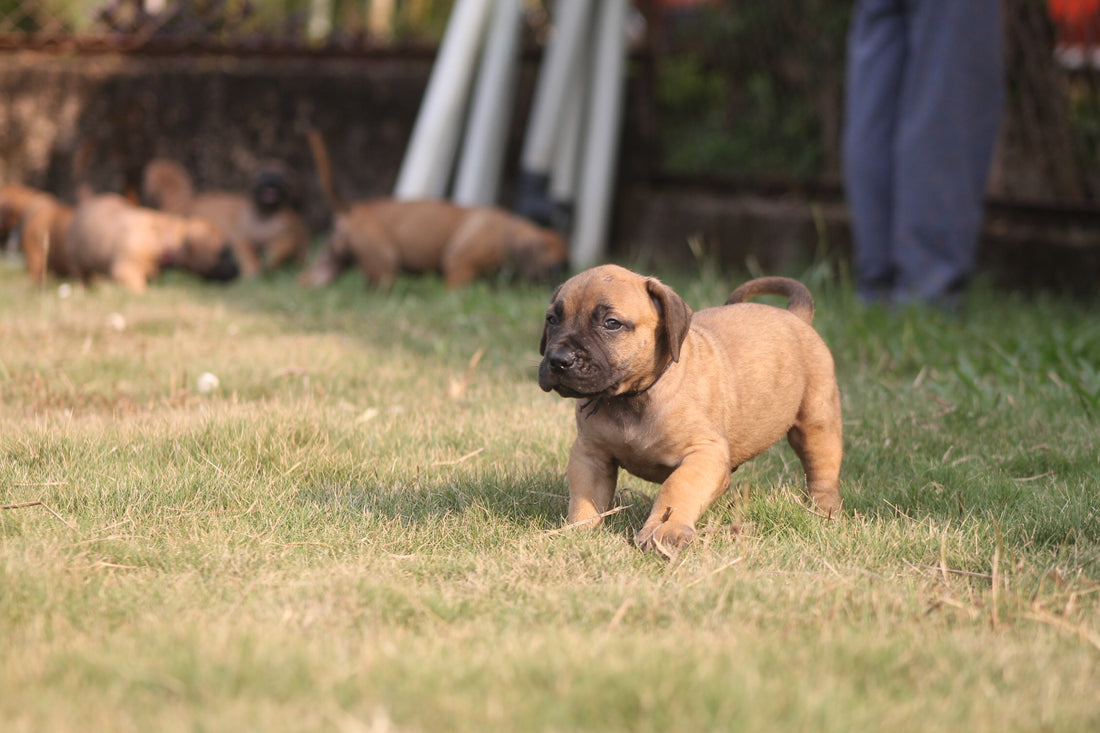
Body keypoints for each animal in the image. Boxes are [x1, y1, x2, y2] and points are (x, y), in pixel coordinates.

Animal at [66, 192, 238, 292]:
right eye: (223, 252)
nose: (238, 271)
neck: (160, 237)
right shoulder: (126, 270)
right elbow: (141, 290)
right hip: (77, 261)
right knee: (81, 276)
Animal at [299, 128, 567, 288]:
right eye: (554, 265)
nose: (562, 279)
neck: (508, 232)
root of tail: (354, 210)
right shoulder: (460, 265)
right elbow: (457, 287)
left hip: (330, 262)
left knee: (310, 279)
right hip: (384, 260)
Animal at [539, 263, 840, 554]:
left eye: (611, 324)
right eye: (552, 320)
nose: (558, 360)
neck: (631, 399)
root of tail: (795, 316)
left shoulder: (704, 453)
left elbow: (677, 487)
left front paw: (665, 531)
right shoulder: (590, 454)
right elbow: (585, 497)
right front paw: (577, 532)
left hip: (817, 422)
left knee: (822, 469)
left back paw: (823, 511)